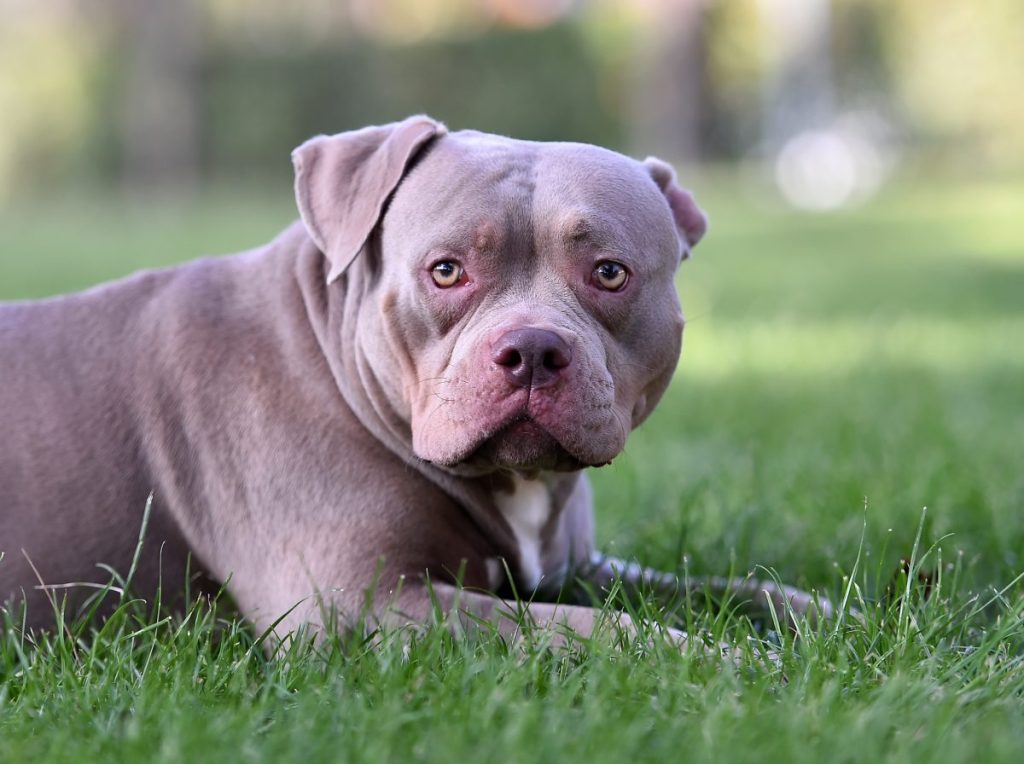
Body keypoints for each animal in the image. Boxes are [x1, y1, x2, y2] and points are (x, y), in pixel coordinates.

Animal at [0, 116, 827, 647]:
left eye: (610, 273)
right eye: (447, 270)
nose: (532, 349)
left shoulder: (578, 567)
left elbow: (725, 586)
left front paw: (823, 614)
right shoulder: (357, 606)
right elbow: (603, 630)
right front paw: (720, 660)